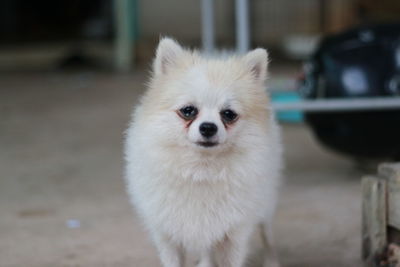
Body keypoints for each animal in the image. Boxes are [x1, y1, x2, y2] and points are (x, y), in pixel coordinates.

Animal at [123, 37, 282, 267]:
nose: (208, 127)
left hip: (266, 204)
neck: (201, 169)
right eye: (188, 111)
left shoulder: (234, 234)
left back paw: (272, 260)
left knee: (267, 235)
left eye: (229, 114)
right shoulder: (167, 234)